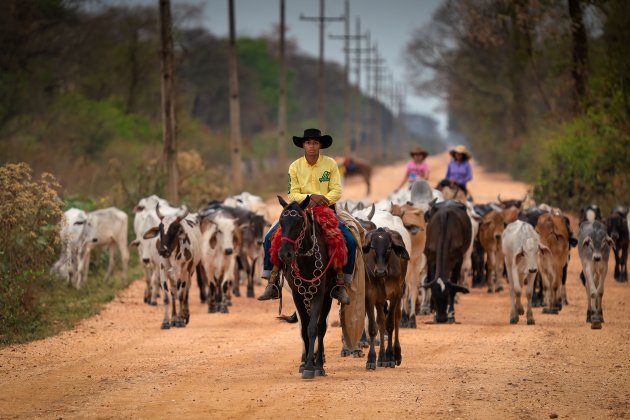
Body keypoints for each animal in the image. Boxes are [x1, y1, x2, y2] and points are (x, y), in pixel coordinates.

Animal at [276, 195, 336, 378]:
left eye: (300, 222)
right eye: (281, 221)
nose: (285, 254)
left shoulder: (319, 293)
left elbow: (313, 328)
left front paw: (311, 366)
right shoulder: (297, 294)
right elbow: (304, 329)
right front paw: (304, 364)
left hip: (328, 296)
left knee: (321, 327)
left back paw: (319, 364)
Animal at [362, 228, 412, 370]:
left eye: (389, 247)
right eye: (372, 247)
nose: (380, 271)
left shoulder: (395, 294)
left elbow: (390, 325)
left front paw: (390, 357)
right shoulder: (369, 297)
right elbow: (373, 327)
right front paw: (371, 359)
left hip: (399, 294)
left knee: (396, 319)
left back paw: (396, 355)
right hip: (380, 301)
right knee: (380, 322)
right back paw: (381, 358)